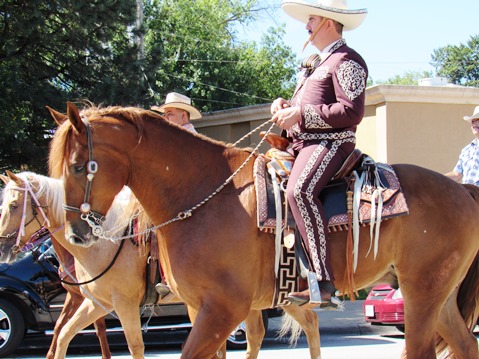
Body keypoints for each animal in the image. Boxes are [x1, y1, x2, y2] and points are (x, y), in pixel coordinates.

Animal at [49, 102, 479, 359]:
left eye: (77, 166)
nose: (75, 234)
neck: (203, 193)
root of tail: (462, 190)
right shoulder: (197, 307)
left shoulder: (222, 309)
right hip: (439, 298)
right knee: (466, 345)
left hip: (422, 293)